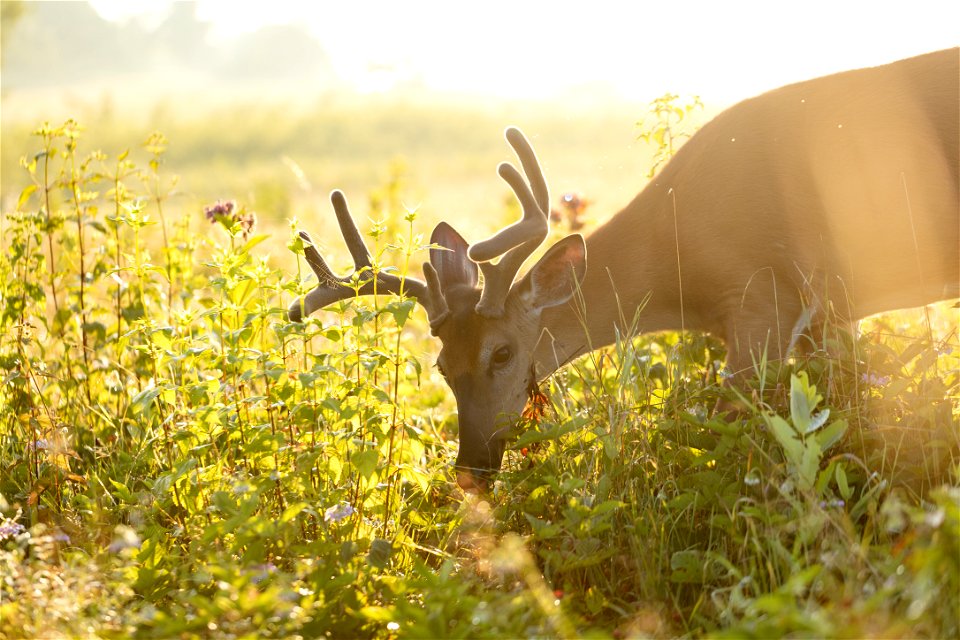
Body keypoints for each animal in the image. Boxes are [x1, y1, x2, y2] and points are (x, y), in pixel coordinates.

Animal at [286, 48, 960, 490]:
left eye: (503, 353)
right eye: (442, 367)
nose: (473, 468)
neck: (676, 266)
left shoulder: (763, 300)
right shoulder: (825, 311)